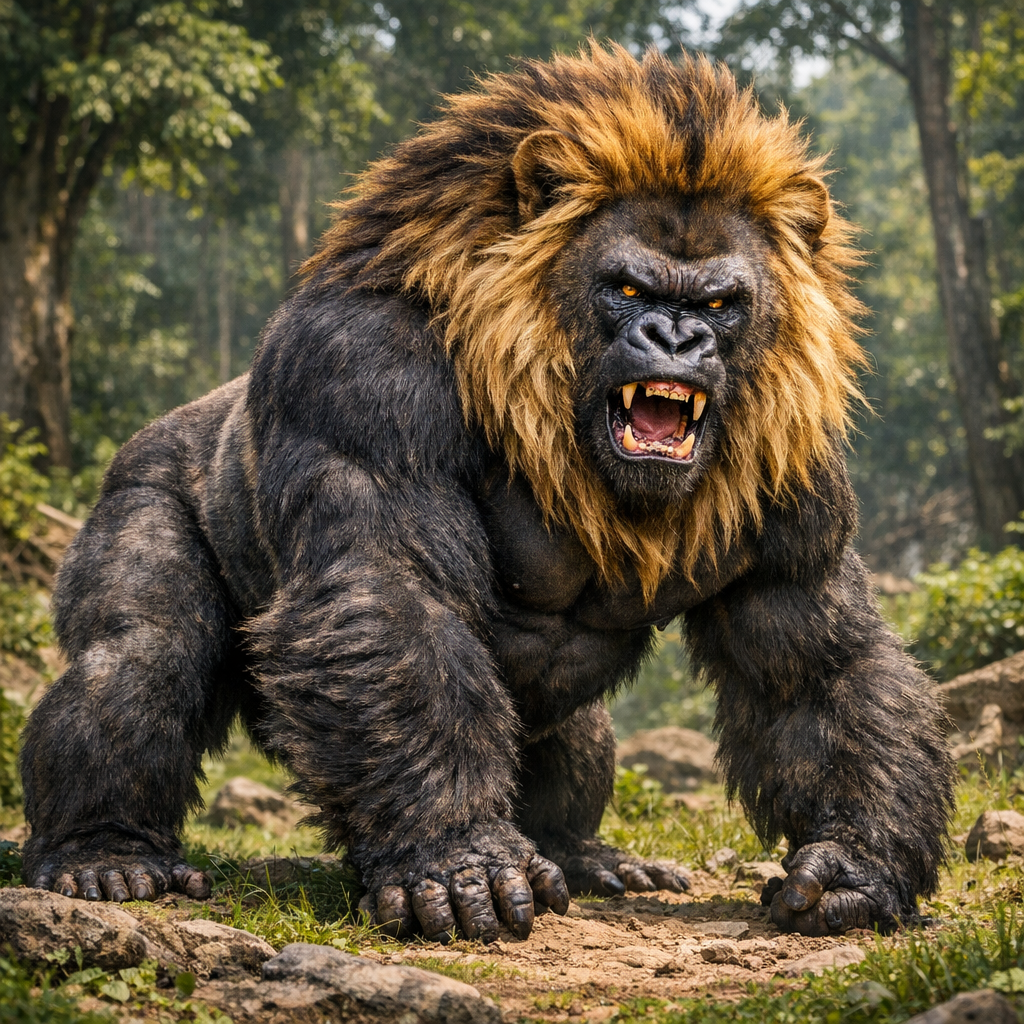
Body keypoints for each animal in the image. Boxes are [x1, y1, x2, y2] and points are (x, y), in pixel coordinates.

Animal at [20, 45, 954, 942]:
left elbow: (816, 664)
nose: (678, 336)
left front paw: (853, 866)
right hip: (137, 485)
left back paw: (583, 853)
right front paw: (458, 863)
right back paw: (104, 854)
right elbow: (393, 597)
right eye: (627, 288)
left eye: (723, 302)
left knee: (579, 731)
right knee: (143, 653)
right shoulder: (359, 372)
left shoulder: (796, 463)